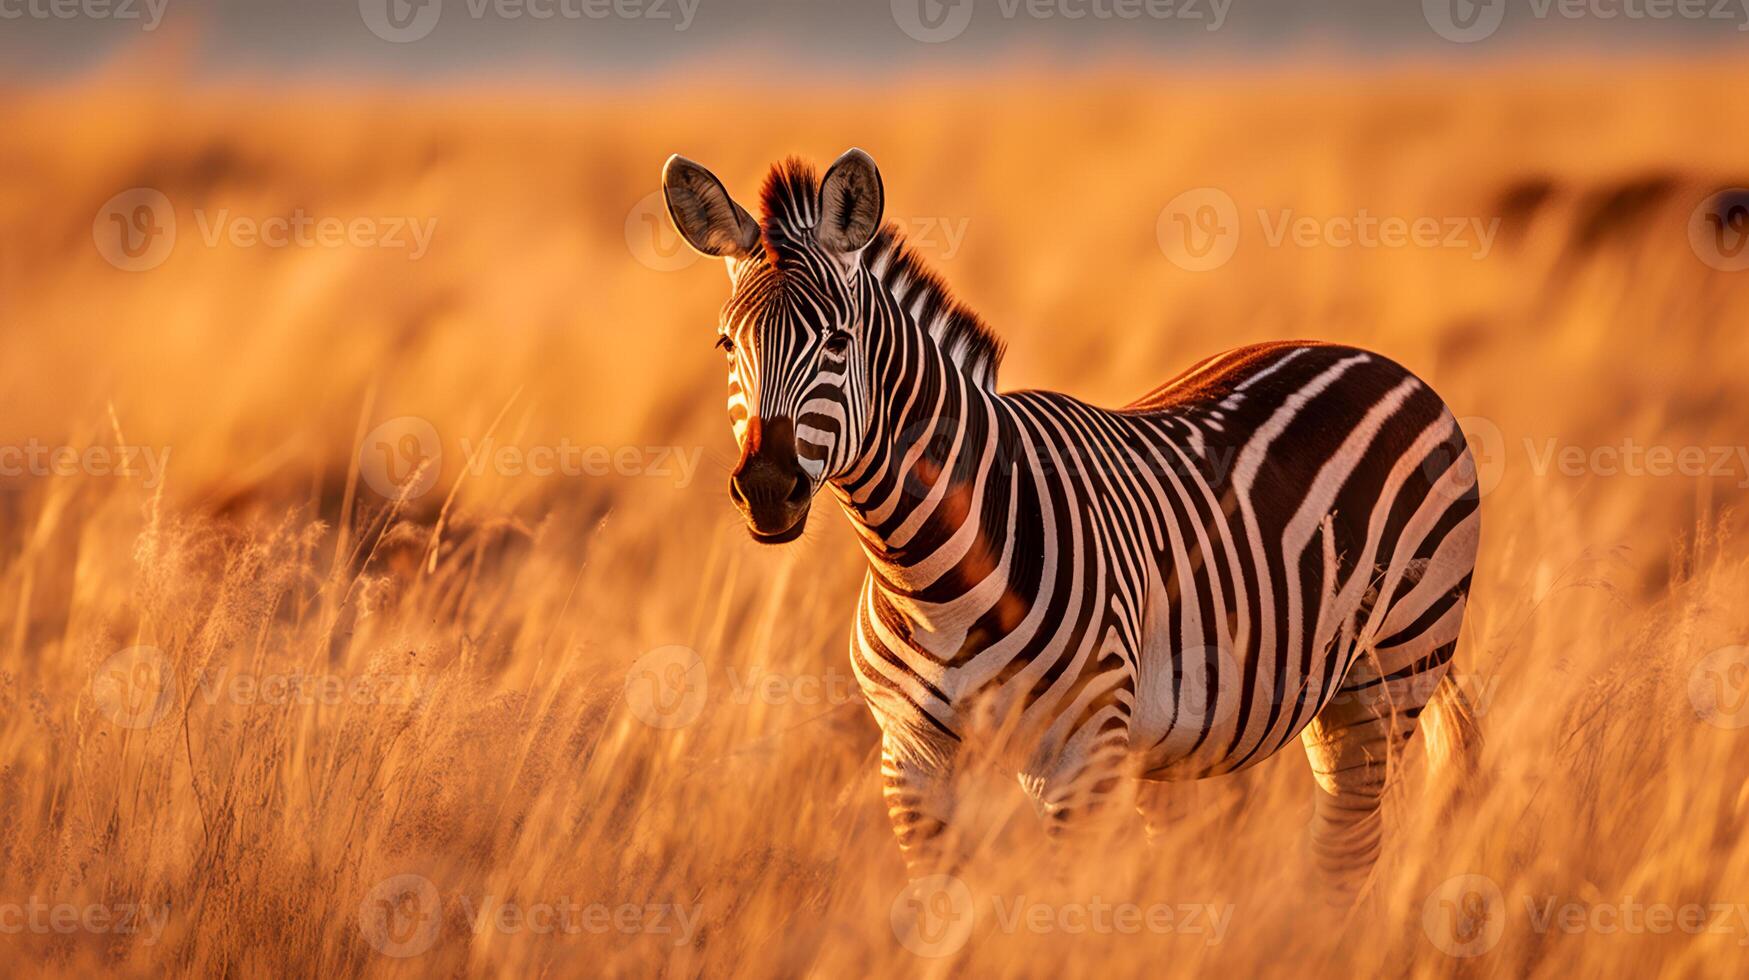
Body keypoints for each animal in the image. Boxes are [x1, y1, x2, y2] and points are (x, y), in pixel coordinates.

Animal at [661, 147, 1483, 896]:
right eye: (726, 343)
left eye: (838, 342)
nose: (767, 490)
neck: (924, 571)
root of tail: (1381, 361)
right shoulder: (912, 758)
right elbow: (939, 913)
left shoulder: (1075, 758)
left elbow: (1066, 912)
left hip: (1392, 668)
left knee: (1345, 855)